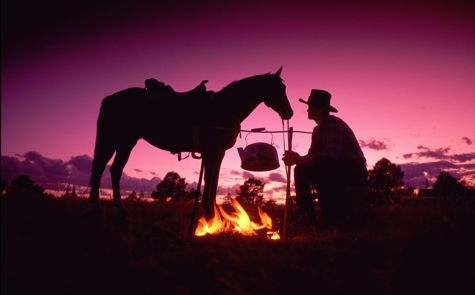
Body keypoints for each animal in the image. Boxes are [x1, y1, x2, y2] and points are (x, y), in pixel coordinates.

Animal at [87, 68, 292, 216]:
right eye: (278, 89)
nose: (289, 113)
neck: (224, 108)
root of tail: (111, 98)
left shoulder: (215, 153)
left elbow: (212, 179)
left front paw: (209, 209)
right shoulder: (214, 151)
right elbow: (211, 180)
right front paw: (209, 211)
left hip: (126, 142)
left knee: (115, 170)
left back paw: (118, 208)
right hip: (113, 139)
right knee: (100, 168)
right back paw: (96, 208)